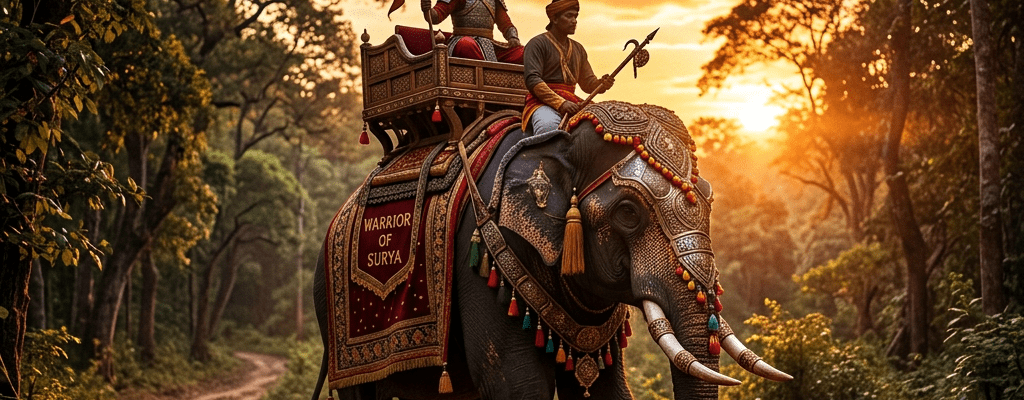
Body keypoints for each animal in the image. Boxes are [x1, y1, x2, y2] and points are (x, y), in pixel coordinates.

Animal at [310, 101, 791, 400]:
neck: (562, 140)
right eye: (629, 212)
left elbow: (605, 387)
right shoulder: (485, 256)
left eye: (709, 202)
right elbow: (519, 387)